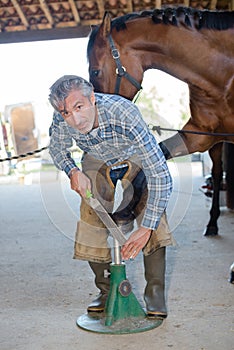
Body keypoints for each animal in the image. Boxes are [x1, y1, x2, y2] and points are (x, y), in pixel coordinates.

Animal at [87, 6, 234, 235]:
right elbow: (150, 163)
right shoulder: (200, 136)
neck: (222, 71)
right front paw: (125, 212)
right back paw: (212, 223)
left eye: (95, 71)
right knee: (217, 174)